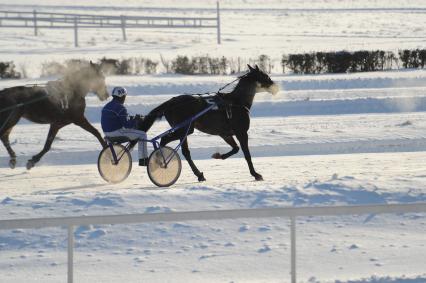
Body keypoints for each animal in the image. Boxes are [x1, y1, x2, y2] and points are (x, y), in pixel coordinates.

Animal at [144, 65, 280, 182]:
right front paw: (256, 174)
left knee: (182, 150)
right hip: (185, 129)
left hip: (184, 130)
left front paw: (218, 155)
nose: (275, 85)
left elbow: (235, 148)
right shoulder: (241, 132)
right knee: (167, 140)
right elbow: (247, 154)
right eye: (265, 76)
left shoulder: (225, 133)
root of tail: (171, 103)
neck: (236, 102)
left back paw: (196, 173)